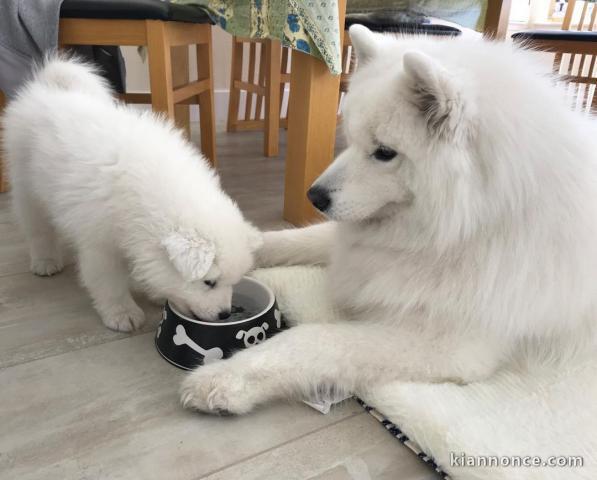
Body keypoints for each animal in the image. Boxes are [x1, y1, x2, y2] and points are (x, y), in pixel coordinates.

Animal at [3, 57, 260, 330]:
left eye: (234, 282)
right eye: (209, 282)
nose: (225, 314)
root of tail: (48, 87)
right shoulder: (100, 242)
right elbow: (108, 281)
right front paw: (122, 313)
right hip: (27, 185)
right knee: (38, 229)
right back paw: (45, 261)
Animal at [180, 26, 596, 414]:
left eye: (384, 152)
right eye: (350, 138)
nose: (314, 196)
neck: (475, 221)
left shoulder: (452, 343)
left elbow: (317, 339)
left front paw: (225, 378)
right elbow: (293, 239)